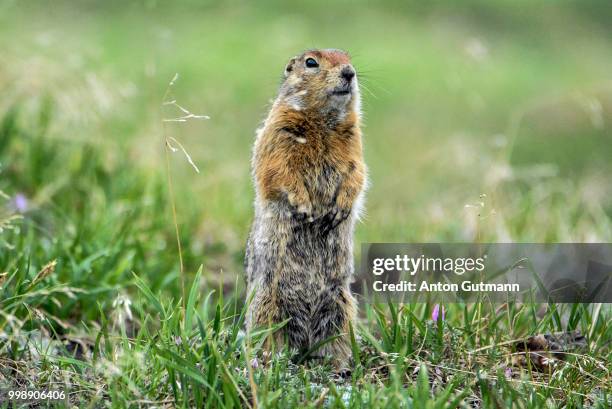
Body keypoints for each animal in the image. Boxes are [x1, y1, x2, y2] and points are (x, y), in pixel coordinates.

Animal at [246, 48, 366, 366]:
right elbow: (278, 171)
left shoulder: (355, 142)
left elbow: (357, 173)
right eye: (311, 62)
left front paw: (340, 208)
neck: (322, 121)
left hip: (341, 307)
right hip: (266, 305)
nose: (349, 72)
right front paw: (305, 207)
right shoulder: (278, 133)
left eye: (348, 57)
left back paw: (336, 364)